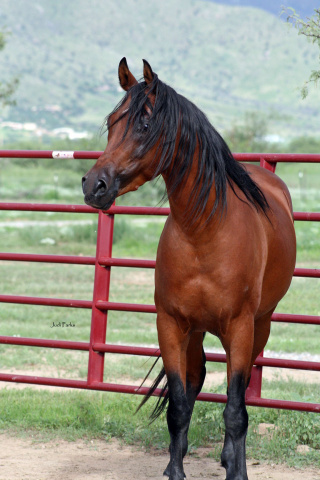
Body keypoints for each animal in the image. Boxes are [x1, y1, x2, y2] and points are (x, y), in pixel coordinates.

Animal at [81, 59, 296, 480]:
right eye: (112, 122)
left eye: (145, 124)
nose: (94, 184)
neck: (204, 233)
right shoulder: (171, 324)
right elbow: (180, 405)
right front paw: (175, 470)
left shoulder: (240, 329)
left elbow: (235, 410)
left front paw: (236, 471)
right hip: (196, 331)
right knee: (196, 382)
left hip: (259, 326)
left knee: (238, 396)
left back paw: (232, 459)